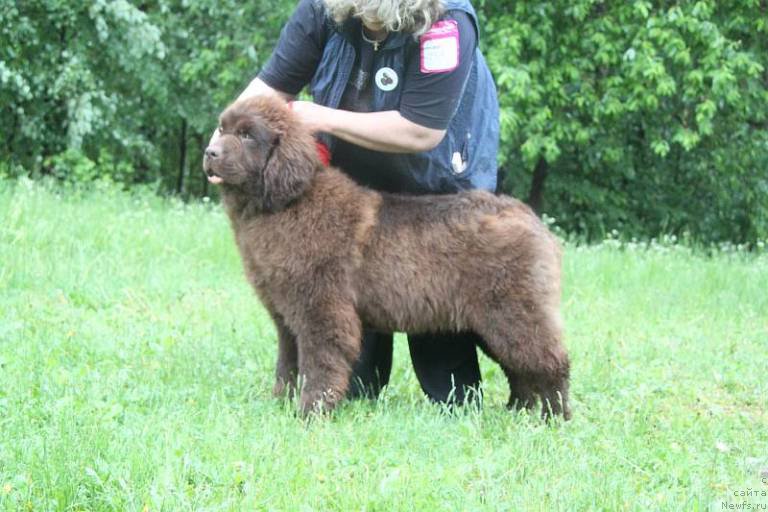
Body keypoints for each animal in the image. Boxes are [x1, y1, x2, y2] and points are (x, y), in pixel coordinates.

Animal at [204, 96, 568, 420]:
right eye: (222, 129)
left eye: (248, 135)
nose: (210, 152)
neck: (287, 203)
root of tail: (531, 218)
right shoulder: (285, 315)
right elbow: (287, 364)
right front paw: (281, 404)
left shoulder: (321, 308)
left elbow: (320, 363)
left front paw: (310, 413)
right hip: (493, 321)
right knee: (521, 370)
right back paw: (518, 412)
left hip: (512, 312)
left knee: (550, 363)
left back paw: (554, 418)